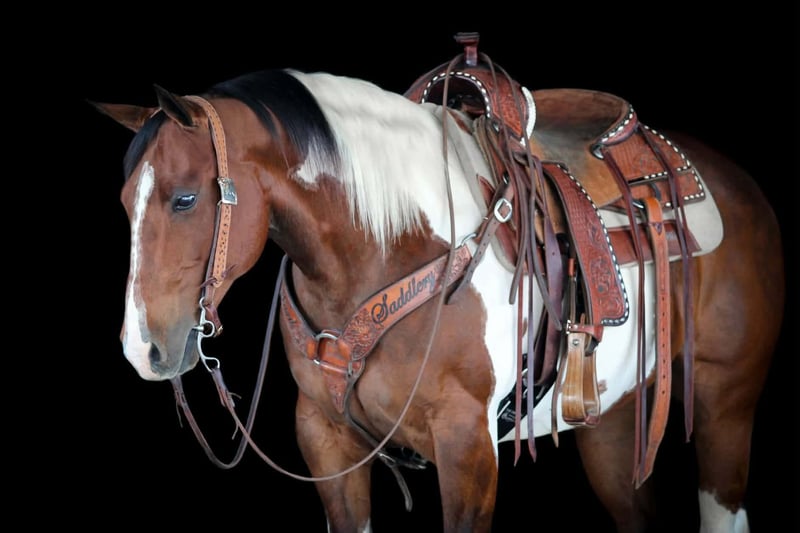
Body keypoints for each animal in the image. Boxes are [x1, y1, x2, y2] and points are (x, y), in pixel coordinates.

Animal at [92, 37, 784, 532]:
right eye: (125, 203)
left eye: (185, 199)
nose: (142, 349)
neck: (384, 249)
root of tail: (737, 184)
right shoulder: (327, 440)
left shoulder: (467, 447)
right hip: (609, 425)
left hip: (725, 409)